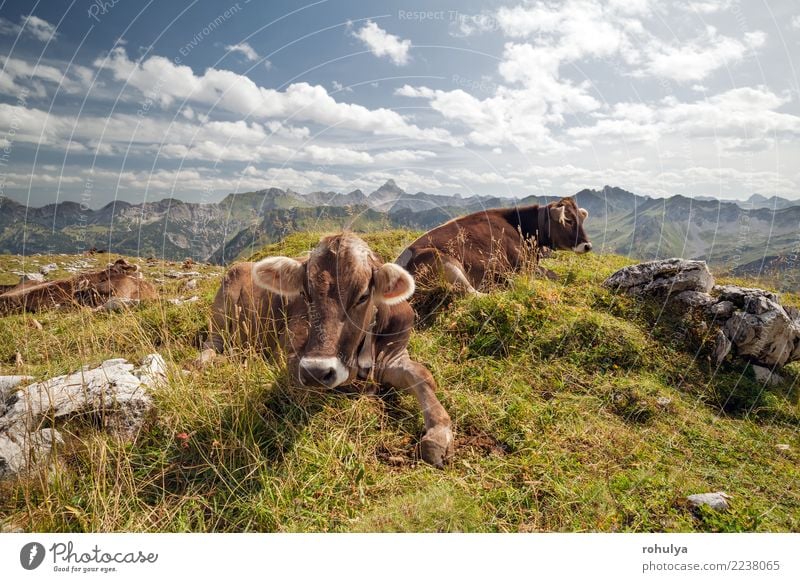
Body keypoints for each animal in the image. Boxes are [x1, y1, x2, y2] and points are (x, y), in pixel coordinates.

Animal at [197, 233, 454, 470]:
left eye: (363, 296)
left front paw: (438, 433)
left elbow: (422, 375)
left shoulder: (396, 353)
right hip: (222, 310)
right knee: (212, 344)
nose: (316, 372)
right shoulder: (291, 354)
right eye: (305, 294)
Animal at [396, 198, 592, 296]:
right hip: (447, 263)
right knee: (472, 294)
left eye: (581, 220)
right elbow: (552, 275)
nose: (587, 245)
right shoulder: (523, 265)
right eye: (568, 220)